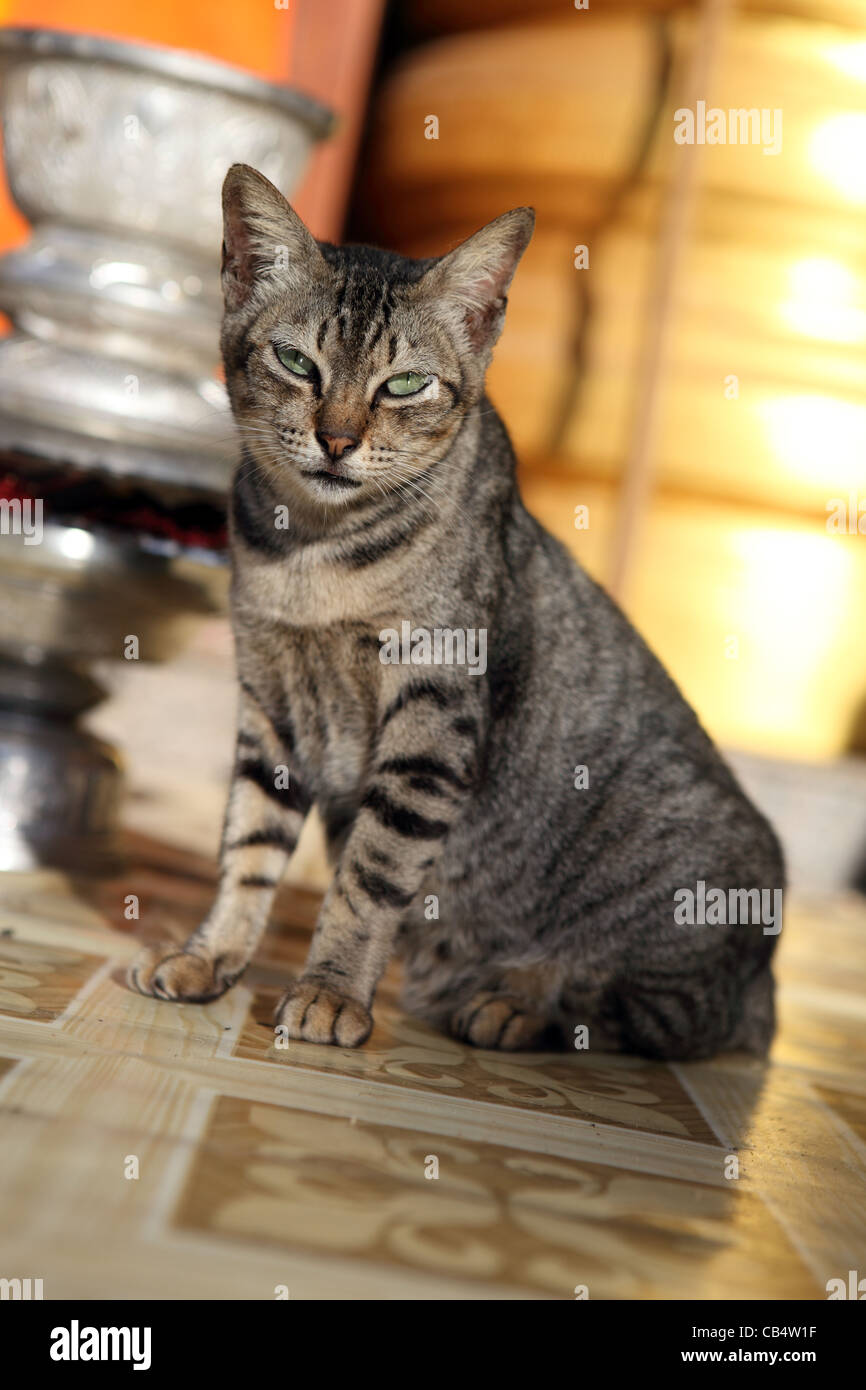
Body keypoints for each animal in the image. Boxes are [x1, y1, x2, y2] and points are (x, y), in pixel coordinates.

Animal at [128, 159, 783, 1050]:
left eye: (405, 384)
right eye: (297, 362)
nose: (337, 439)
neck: (311, 552)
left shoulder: (430, 717)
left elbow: (369, 877)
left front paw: (331, 992)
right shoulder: (269, 704)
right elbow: (248, 847)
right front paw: (210, 956)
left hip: (675, 925)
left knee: (643, 1012)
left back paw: (516, 1001)